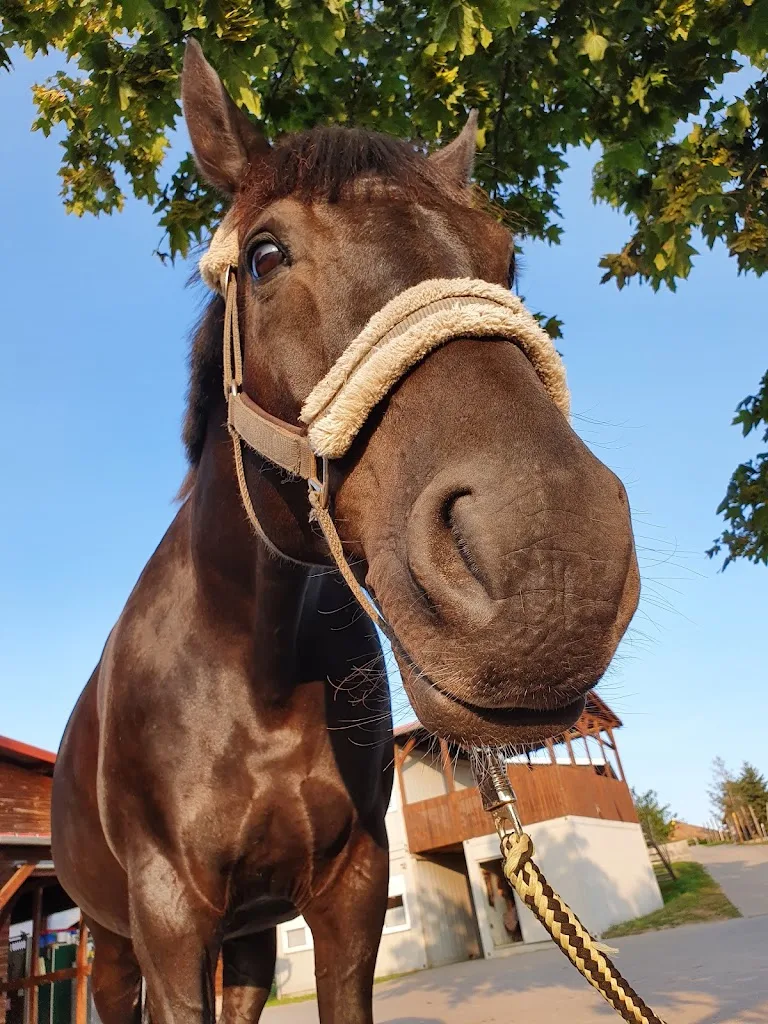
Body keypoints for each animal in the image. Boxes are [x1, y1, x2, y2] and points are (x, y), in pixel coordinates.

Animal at [51, 39, 640, 1024]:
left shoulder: (352, 890)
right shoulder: (169, 918)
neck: (255, 670)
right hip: (113, 944)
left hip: (249, 937)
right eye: (264, 255)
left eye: (506, 260)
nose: (556, 560)